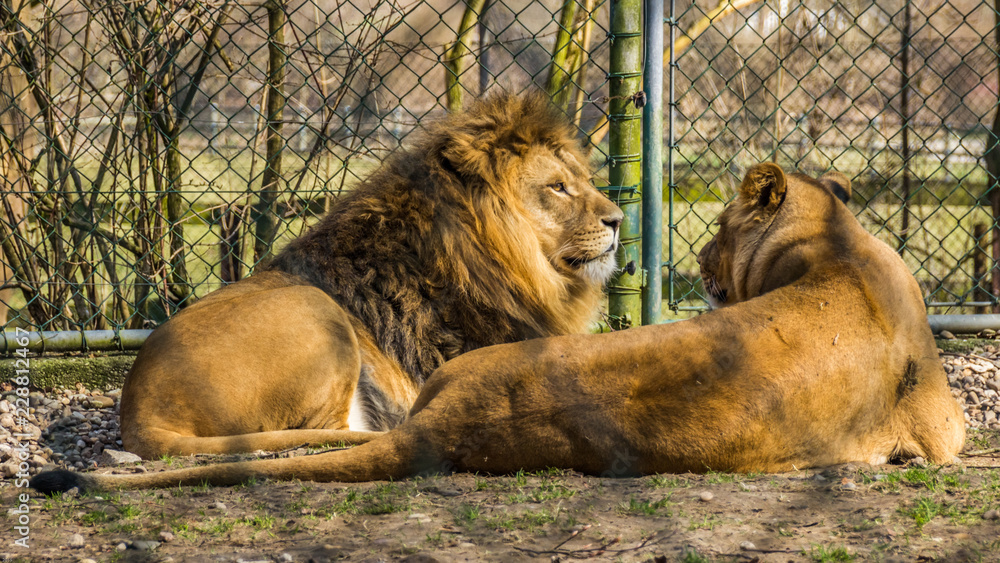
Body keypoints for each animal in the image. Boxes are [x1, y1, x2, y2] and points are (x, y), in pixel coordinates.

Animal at [113, 93, 624, 459]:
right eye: (557, 187)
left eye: (584, 180)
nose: (618, 220)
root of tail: (137, 414)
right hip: (314, 307)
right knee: (326, 431)